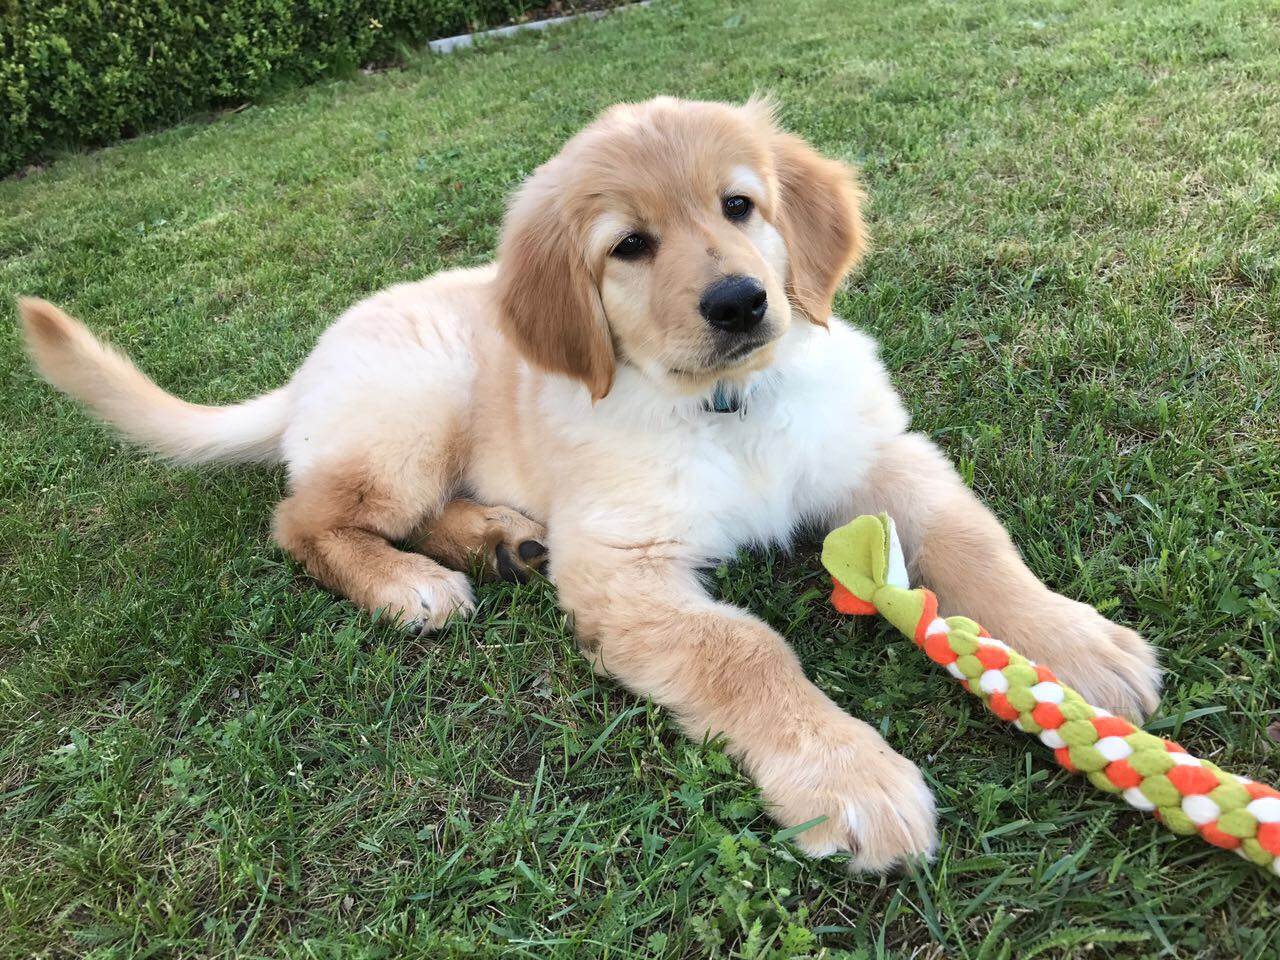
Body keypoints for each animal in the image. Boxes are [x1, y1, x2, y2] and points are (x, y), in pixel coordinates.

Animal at [19, 96, 1160, 870]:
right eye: (629, 247)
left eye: (739, 205)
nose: (740, 302)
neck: (727, 408)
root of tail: (307, 370)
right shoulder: (622, 560)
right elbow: (746, 653)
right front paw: (847, 773)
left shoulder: (878, 452)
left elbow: (972, 542)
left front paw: (1075, 648)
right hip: (411, 408)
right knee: (302, 518)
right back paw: (409, 584)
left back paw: (500, 539)